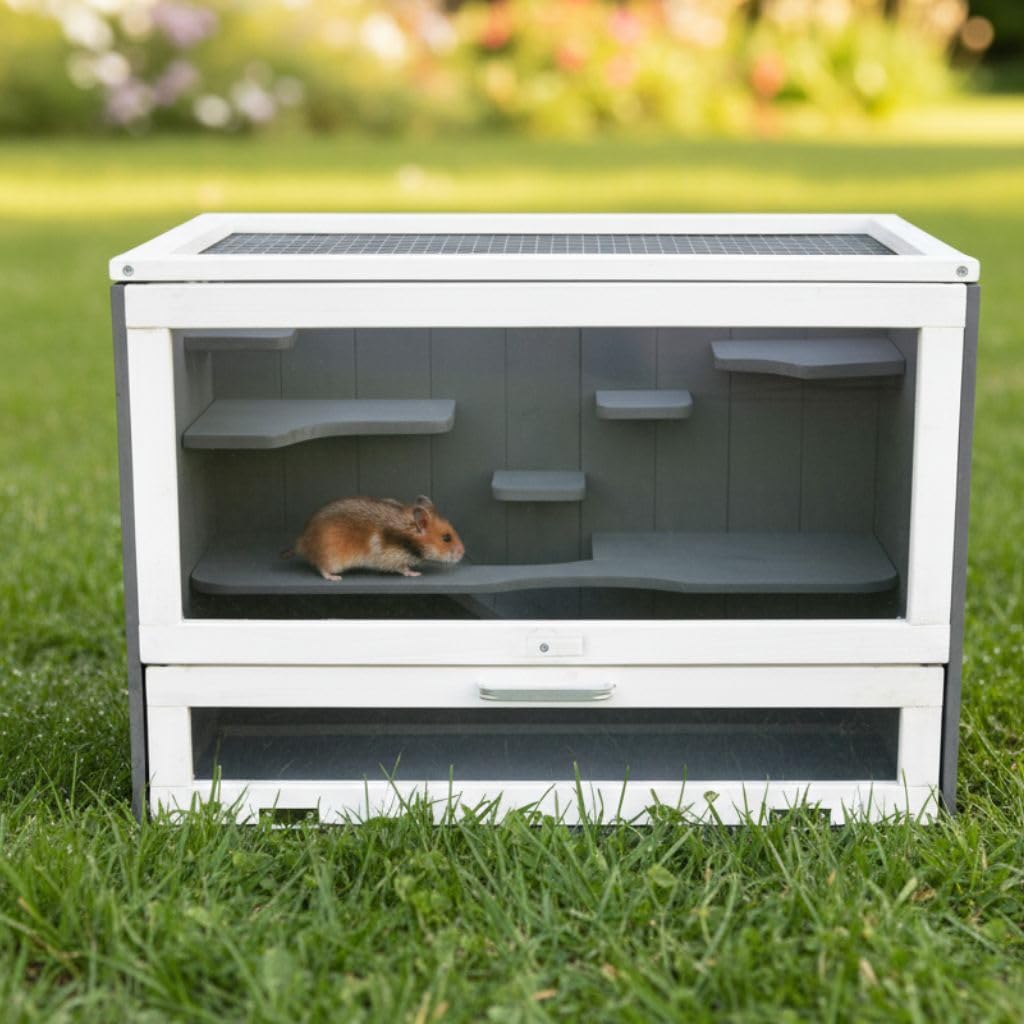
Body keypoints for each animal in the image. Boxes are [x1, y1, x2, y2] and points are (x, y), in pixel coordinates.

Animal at [284, 495, 465, 582]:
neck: (408, 538)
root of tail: (301, 541)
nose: (462, 553)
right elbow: (404, 569)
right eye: (446, 538)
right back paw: (335, 578)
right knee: (321, 568)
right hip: (332, 558)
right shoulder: (393, 559)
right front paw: (415, 574)